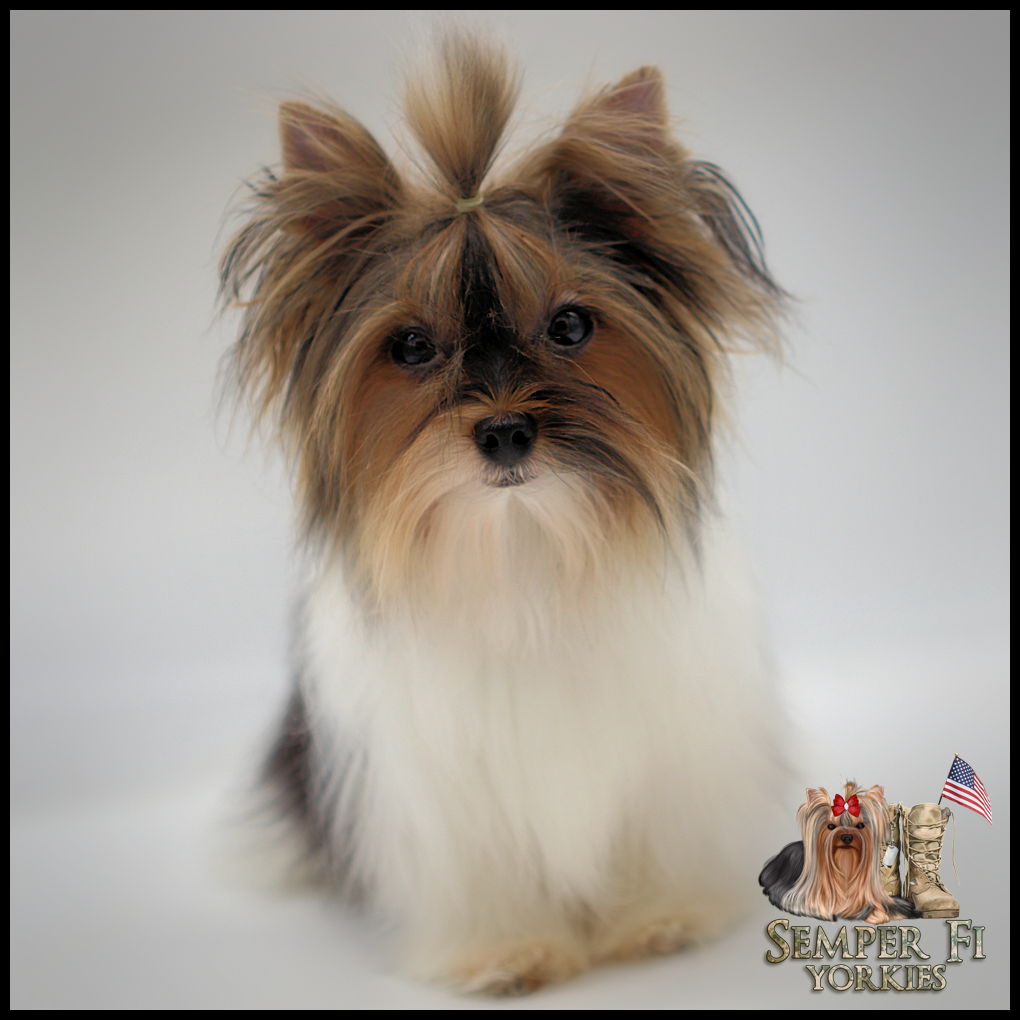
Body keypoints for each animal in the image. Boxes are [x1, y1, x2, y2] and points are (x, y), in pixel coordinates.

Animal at [221, 32, 787, 994]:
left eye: (570, 325)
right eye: (412, 346)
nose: (506, 432)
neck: (523, 538)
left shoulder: (671, 739)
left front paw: (662, 917)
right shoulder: (437, 783)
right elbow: (477, 865)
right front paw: (507, 950)